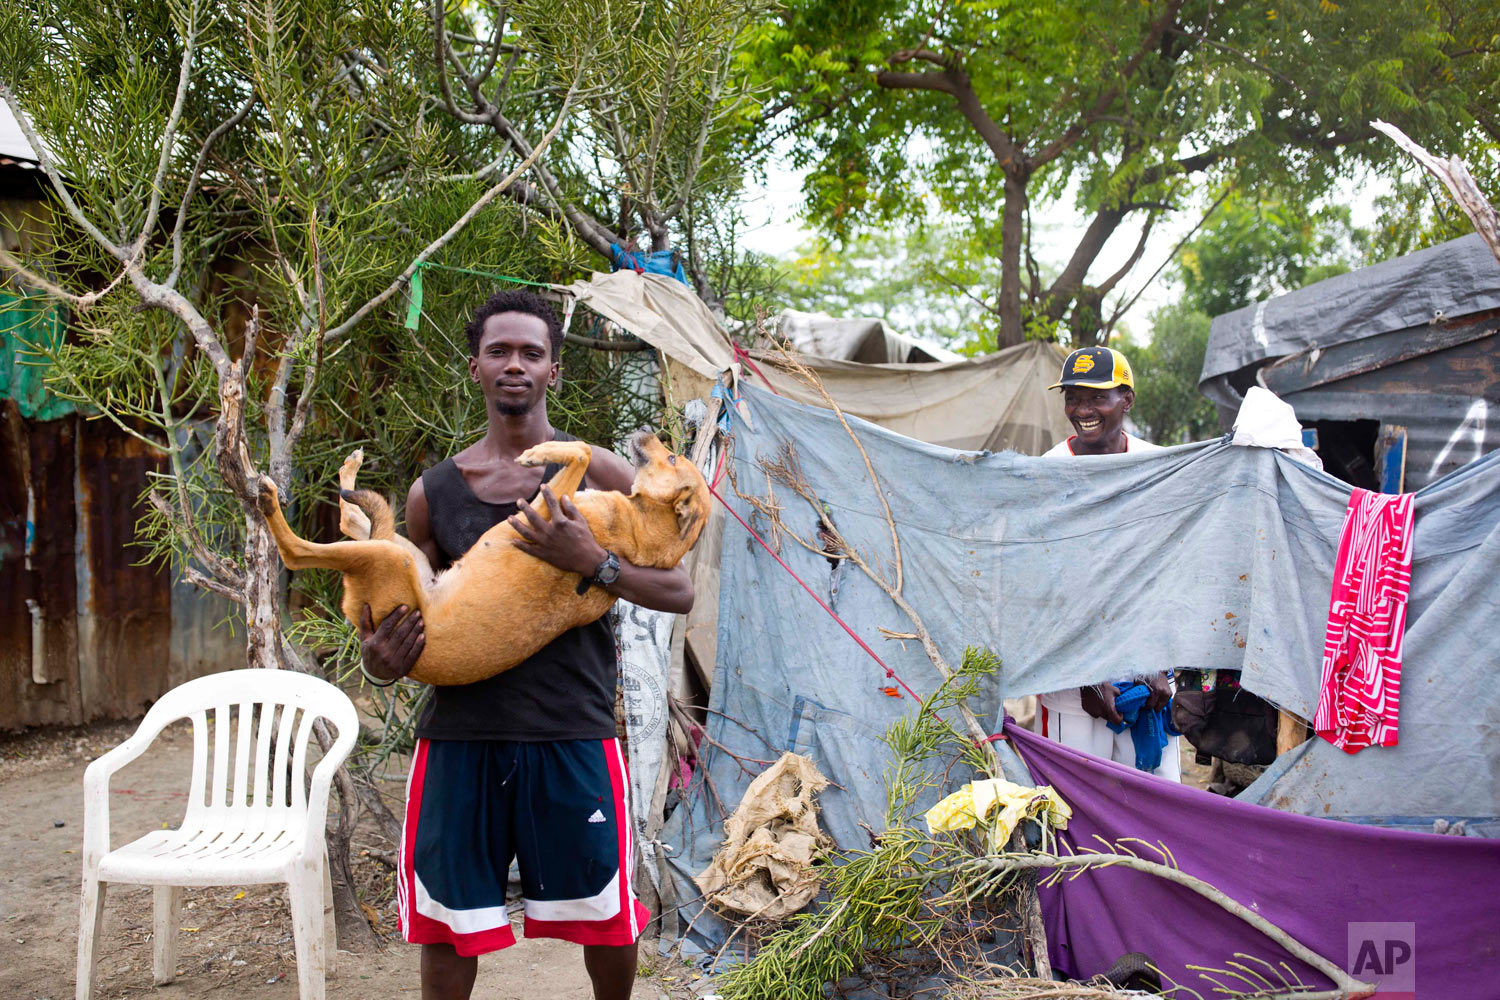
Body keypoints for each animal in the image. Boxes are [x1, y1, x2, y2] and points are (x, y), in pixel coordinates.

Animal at [261, 431, 711, 689]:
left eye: (673, 459)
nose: (648, 431)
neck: (640, 529)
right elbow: (583, 451)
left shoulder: (542, 511)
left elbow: (582, 450)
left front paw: (537, 452)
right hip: (404, 552)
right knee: (351, 517)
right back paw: (348, 468)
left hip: (387, 558)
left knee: (297, 551)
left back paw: (267, 497)